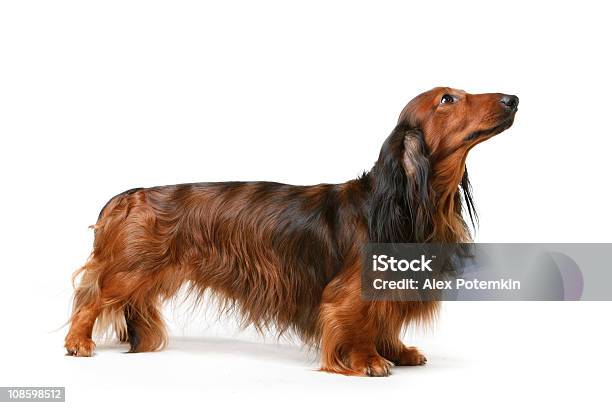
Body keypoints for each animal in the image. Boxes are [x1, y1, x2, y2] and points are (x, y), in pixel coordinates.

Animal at [65, 88, 516, 376]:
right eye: (448, 98)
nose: (513, 99)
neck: (404, 199)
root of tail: (125, 196)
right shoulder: (350, 291)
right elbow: (357, 321)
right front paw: (368, 359)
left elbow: (385, 320)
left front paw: (397, 351)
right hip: (128, 270)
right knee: (89, 297)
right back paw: (78, 342)